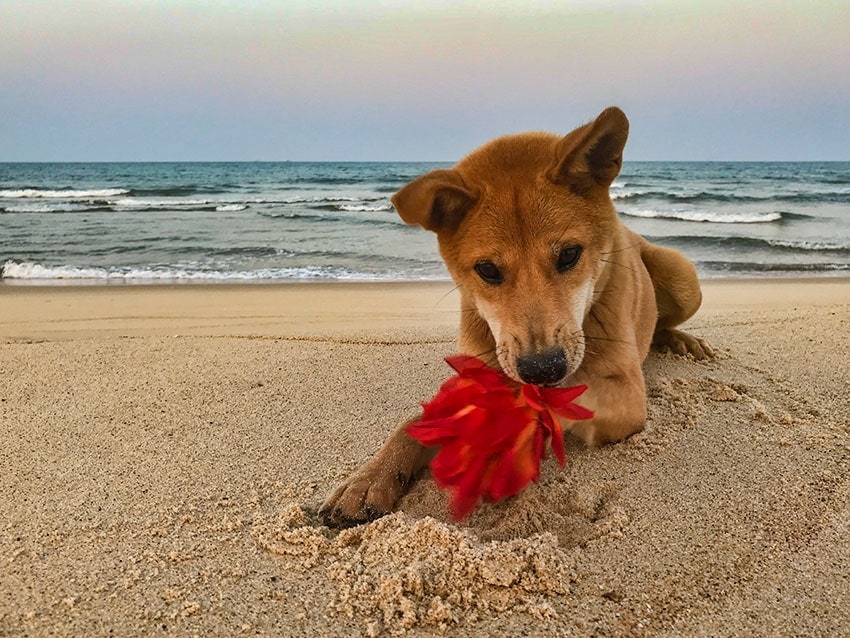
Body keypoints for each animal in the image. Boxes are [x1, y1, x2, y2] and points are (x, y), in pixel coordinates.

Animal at [318, 109, 708, 528]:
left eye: (569, 254)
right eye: (487, 270)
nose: (542, 368)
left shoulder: (626, 394)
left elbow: (537, 406)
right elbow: (417, 422)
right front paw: (370, 479)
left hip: (682, 275)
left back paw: (686, 341)